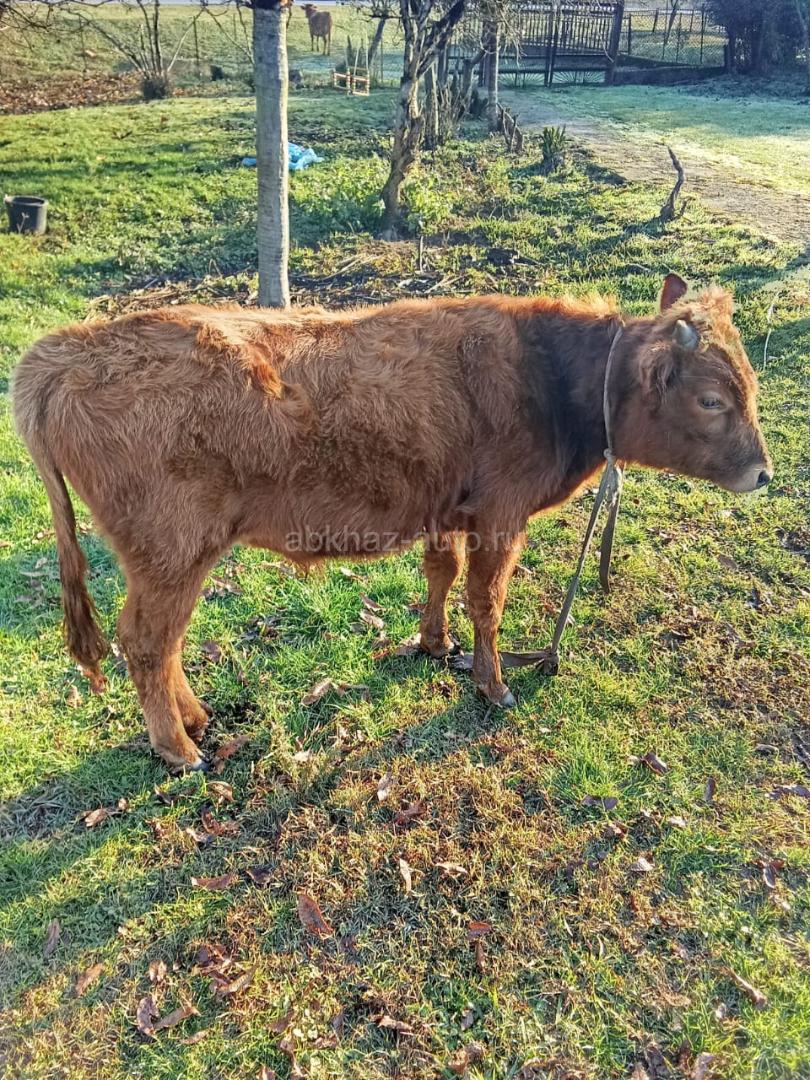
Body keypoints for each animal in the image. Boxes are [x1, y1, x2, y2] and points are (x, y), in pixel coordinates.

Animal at [12, 275, 771, 771]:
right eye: (711, 399)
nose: (764, 473)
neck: (549, 376)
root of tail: (68, 349)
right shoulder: (501, 516)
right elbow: (487, 600)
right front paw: (493, 683)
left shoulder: (449, 510)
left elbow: (442, 574)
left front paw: (435, 644)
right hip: (171, 554)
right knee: (147, 642)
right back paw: (179, 748)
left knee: (161, 646)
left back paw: (195, 721)